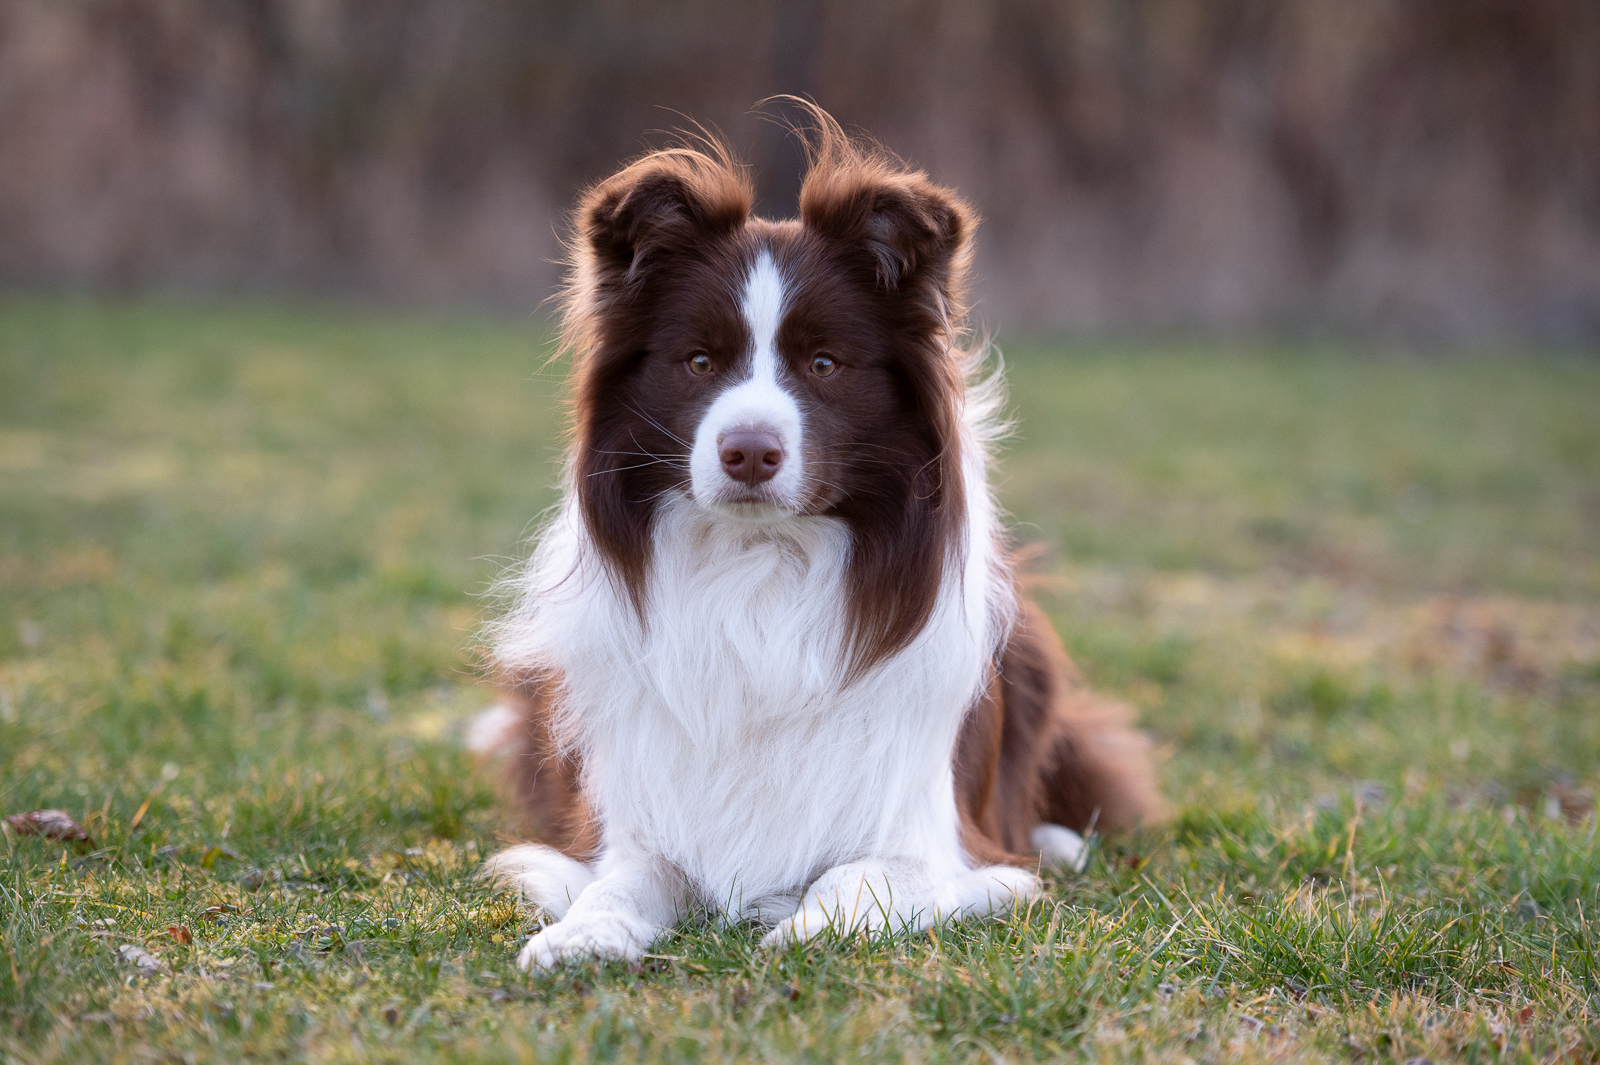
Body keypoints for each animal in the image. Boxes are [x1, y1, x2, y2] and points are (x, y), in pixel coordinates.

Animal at [478, 106, 1161, 970]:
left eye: (825, 364)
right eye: (698, 361)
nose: (748, 452)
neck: (762, 567)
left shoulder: (943, 843)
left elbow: (859, 874)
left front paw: (803, 927)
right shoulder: (632, 822)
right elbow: (626, 877)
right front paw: (581, 933)